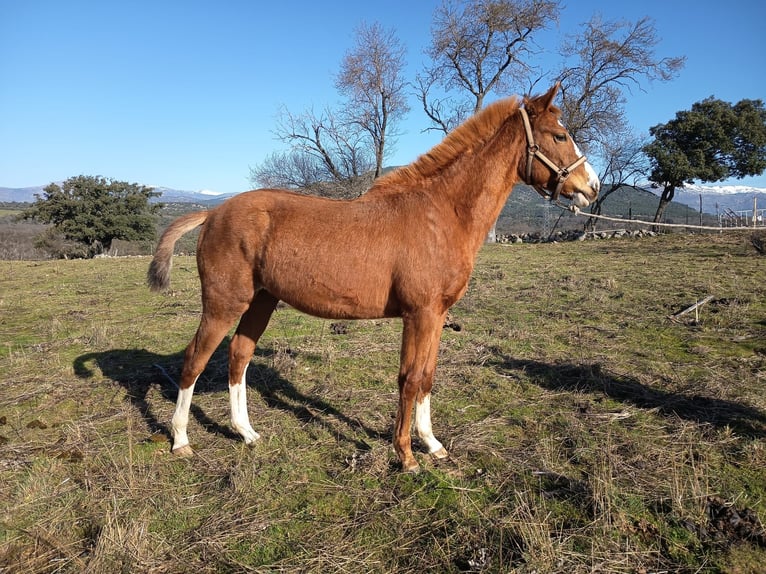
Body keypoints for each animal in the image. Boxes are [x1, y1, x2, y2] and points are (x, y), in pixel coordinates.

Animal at [147, 83, 600, 472]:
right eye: (560, 136)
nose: (592, 186)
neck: (440, 213)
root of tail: (213, 212)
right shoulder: (419, 315)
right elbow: (409, 379)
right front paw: (406, 456)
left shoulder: (437, 316)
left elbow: (427, 378)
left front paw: (432, 444)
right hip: (224, 303)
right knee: (195, 359)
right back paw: (180, 440)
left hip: (261, 301)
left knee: (238, 356)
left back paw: (247, 433)